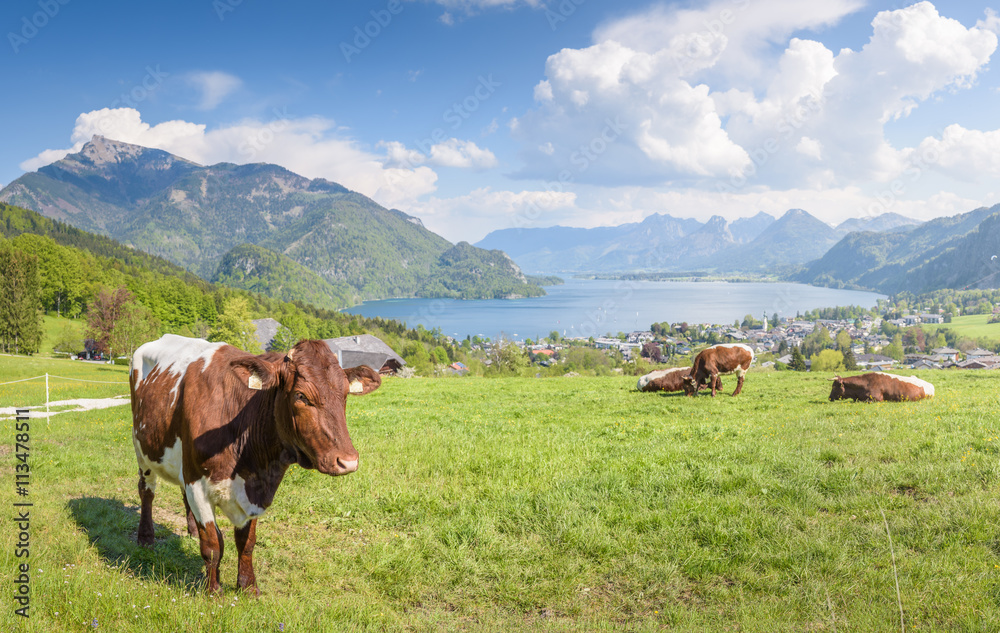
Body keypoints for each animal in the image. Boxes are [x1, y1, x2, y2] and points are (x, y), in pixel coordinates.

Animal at [131, 334, 380, 596]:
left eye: (345, 394)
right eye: (301, 396)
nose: (348, 461)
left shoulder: (254, 491)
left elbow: (246, 542)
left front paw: (248, 586)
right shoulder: (197, 484)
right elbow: (212, 544)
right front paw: (213, 591)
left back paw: (190, 529)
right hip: (142, 450)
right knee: (146, 492)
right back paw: (146, 537)